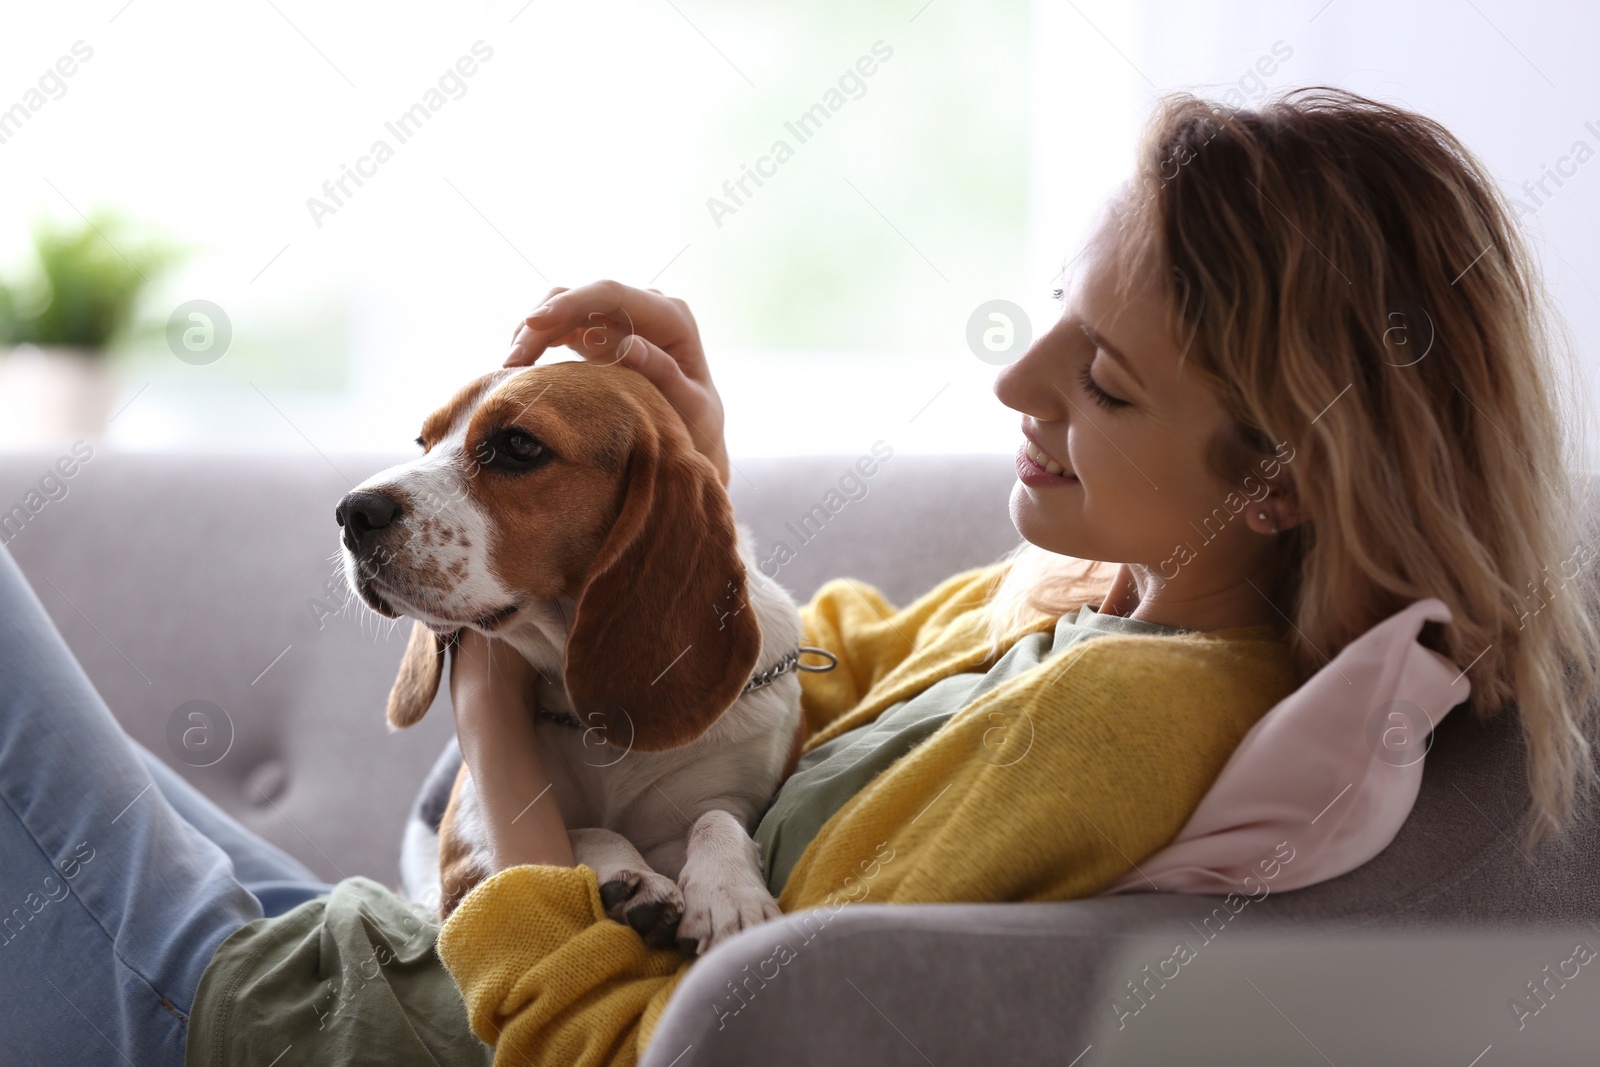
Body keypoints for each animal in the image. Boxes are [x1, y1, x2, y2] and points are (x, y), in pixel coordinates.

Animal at [339, 363, 832, 953]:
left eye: (518, 445)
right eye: (424, 443)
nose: (351, 511)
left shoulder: (737, 789)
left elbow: (716, 818)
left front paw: (729, 895)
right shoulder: (464, 852)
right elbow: (581, 830)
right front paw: (631, 875)